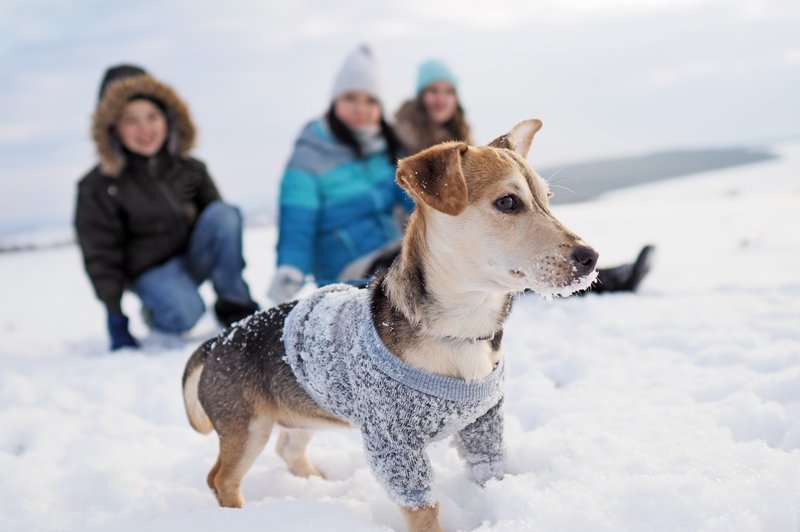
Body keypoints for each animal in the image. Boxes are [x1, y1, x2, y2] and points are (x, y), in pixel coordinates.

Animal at [180, 120, 592, 532]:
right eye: (507, 202)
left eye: (548, 198)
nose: (591, 257)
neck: (459, 329)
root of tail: (218, 341)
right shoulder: (392, 442)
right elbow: (422, 507)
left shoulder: (483, 424)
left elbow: (489, 470)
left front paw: (499, 504)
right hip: (247, 426)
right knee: (221, 478)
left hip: (301, 411)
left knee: (287, 448)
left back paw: (319, 485)